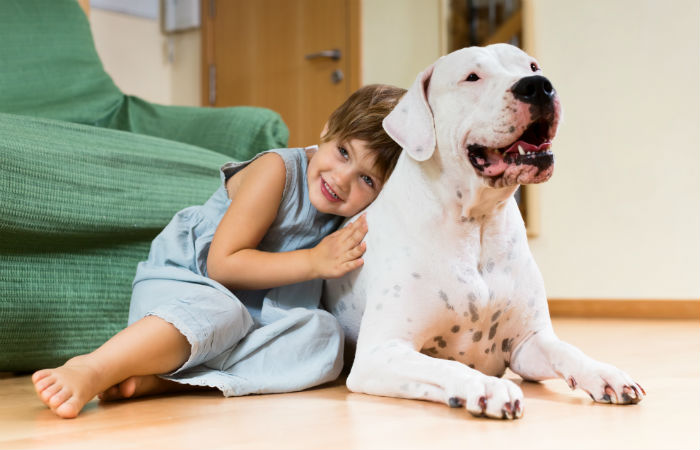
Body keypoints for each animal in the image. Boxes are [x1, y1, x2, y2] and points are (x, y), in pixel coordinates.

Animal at [324, 44, 644, 420]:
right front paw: (487, 386)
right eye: (472, 77)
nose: (538, 86)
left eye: (533, 66)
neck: (477, 224)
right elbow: (446, 365)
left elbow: (566, 350)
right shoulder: (380, 352)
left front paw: (604, 373)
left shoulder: (527, 344)